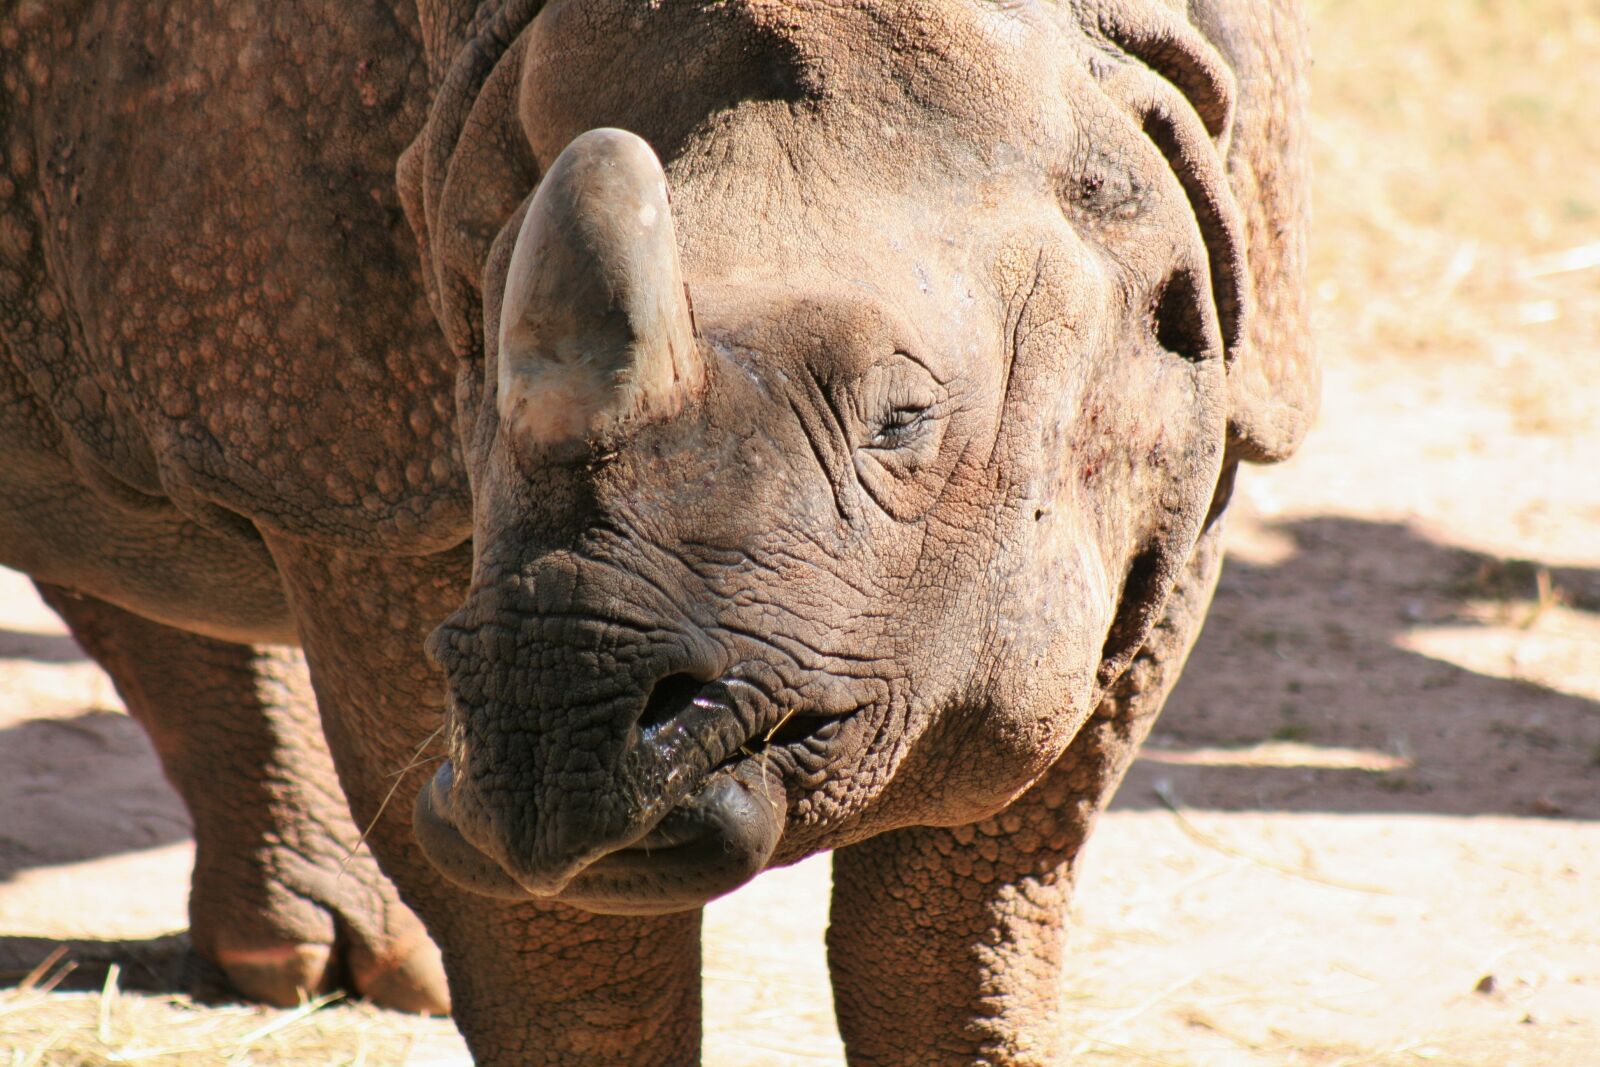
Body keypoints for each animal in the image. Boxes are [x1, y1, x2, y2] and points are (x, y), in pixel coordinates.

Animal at [0, 0, 1315, 1062]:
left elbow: (964, 905)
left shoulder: (1217, 378)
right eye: (474, 362)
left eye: (901, 420)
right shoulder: (355, 475)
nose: (551, 745)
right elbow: (571, 951)